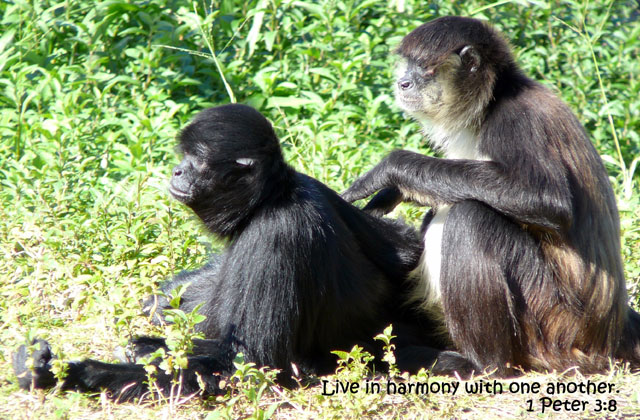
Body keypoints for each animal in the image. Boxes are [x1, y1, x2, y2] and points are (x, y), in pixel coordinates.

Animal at [12, 104, 468, 400]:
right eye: (184, 158)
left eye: (195, 160)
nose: (177, 171)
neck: (274, 196)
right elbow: (404, 243)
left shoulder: (276, 233)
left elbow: (248, 364)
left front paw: (63, 372)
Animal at [344, 16, 640, 376]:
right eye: (407, 66)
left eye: (423, 68)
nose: (403, 83)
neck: (494, 101)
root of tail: (610, 334)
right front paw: (395, 191)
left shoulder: (514, 119)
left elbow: (548, 203)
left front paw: (393, 169)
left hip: (552, 321)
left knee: (471, 218)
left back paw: (482, 363)